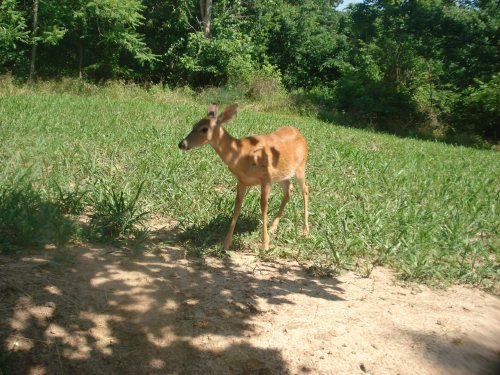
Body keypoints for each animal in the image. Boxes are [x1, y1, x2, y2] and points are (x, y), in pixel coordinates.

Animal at [176, 103, 308, 253]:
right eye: (194, 125)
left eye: (204, 129)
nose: (182, 144)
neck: (242, 156)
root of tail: (299, 133)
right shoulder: (241, 181)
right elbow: (237, 208)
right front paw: (226, 244)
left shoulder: (266, 177)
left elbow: (263, 206)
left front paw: (265, 245)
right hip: (281, 175)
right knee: (289, 190)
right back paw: (273, 228)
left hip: (301, 167)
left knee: (305, 190)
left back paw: (305, 232)